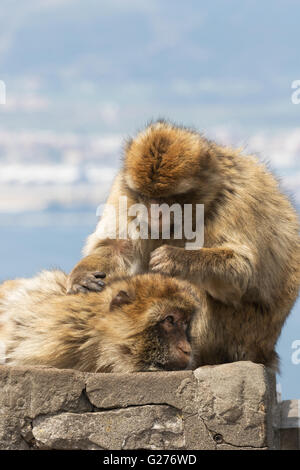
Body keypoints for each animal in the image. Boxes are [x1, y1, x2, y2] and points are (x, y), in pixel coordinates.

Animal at [67, 119, 300, 370]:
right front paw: (83, 275)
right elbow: (117, 244)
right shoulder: (125, 193)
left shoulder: (237, 200)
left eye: (166, 199)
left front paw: (174, 258)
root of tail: (264, 350)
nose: (154, 213)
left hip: (240, 332)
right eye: (147, 197)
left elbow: (243, 269)